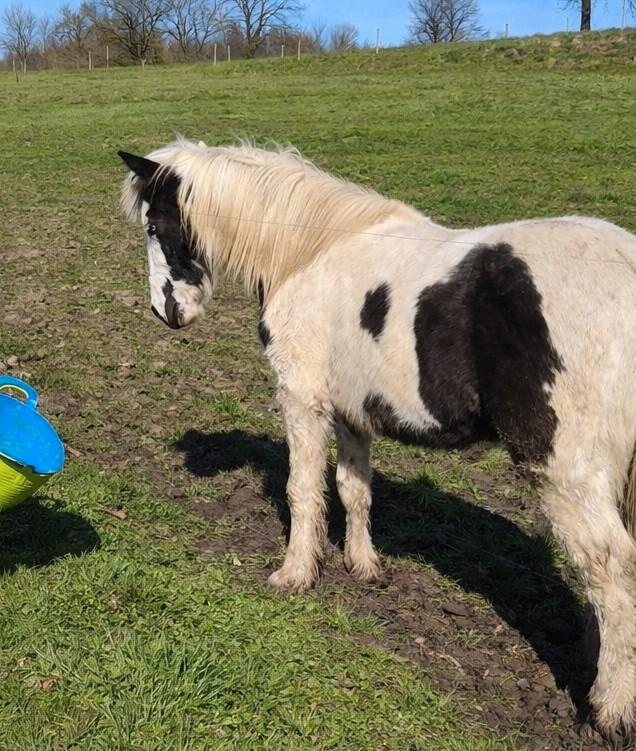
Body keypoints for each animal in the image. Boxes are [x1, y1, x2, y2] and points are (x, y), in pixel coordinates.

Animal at [119, 137, 636, 744]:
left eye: (155, 225)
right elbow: (353, 489)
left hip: (565, 471)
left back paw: (609, 710)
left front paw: (295, 574)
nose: (165, 313)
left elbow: (303, 492)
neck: (310, 250)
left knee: (609, 568)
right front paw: (363, 566)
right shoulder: (352, 411)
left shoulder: (303, 399)